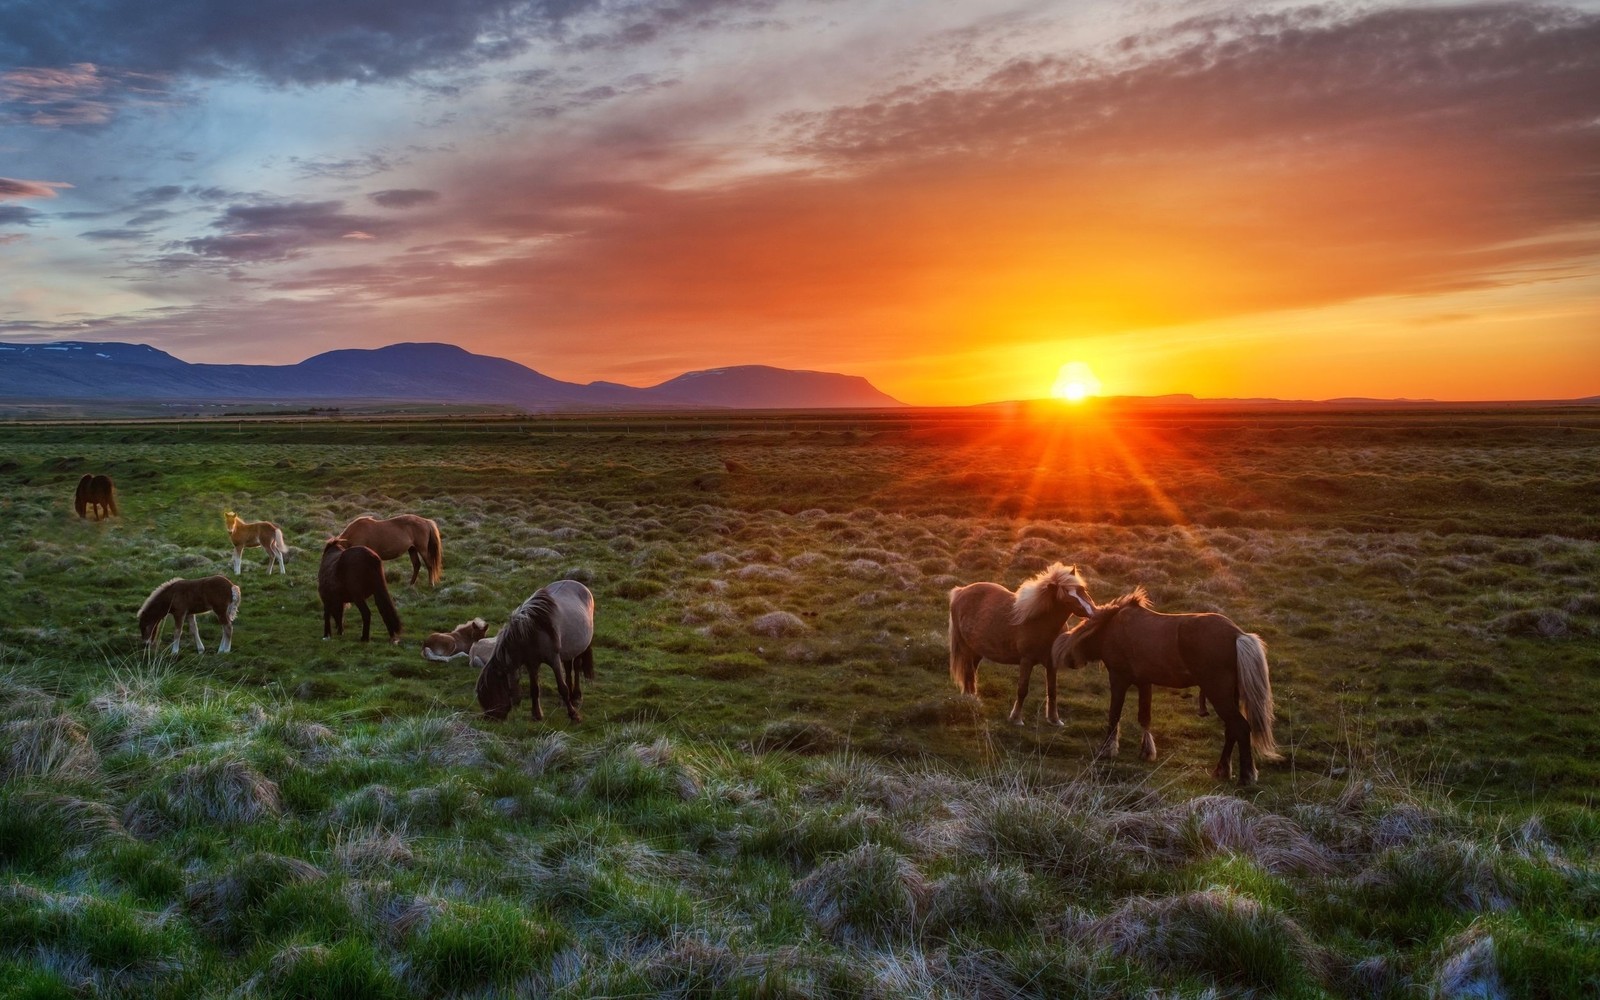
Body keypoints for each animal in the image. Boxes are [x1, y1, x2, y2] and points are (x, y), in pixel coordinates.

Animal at [480, 576, 601, 726]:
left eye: (493, 691)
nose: (489, 719)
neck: (532, 632)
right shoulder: (532, 664)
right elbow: (534, 689)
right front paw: (537, 714)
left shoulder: (554, 660)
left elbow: (563, 688)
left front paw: (574, 715)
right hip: (568, 650)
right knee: (568, 668)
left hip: (580, 647)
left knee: (577, 667)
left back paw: (576, 696)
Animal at [947, 563, 1100, 726]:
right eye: (1067, 599)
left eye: (1082, 590)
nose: (1094, 613)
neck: (1040, 621)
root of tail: (960, 591)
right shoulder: (1026, 660)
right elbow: (1022, 689)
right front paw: (1016, 718)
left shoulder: (1051, 664)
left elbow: (1052, 690)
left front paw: (1054, 720)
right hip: (966, 648)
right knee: (969, 673)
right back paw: (971, 702)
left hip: (976, 651)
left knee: (970, 674)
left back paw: (972, 699)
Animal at [1049, 585, 1286, 787]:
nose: (1070, 662)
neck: (1110, 628)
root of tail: (1237, 635)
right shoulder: (1144, 682)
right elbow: (1144, 717)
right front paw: (1146, 752)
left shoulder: (1119, 678)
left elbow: (1114, 715)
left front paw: (1107, 750)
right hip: (1229, 695)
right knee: (1232, 729)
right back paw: (1222, 770)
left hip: (1218, 692)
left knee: (1241, 727)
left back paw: (1246, 776)